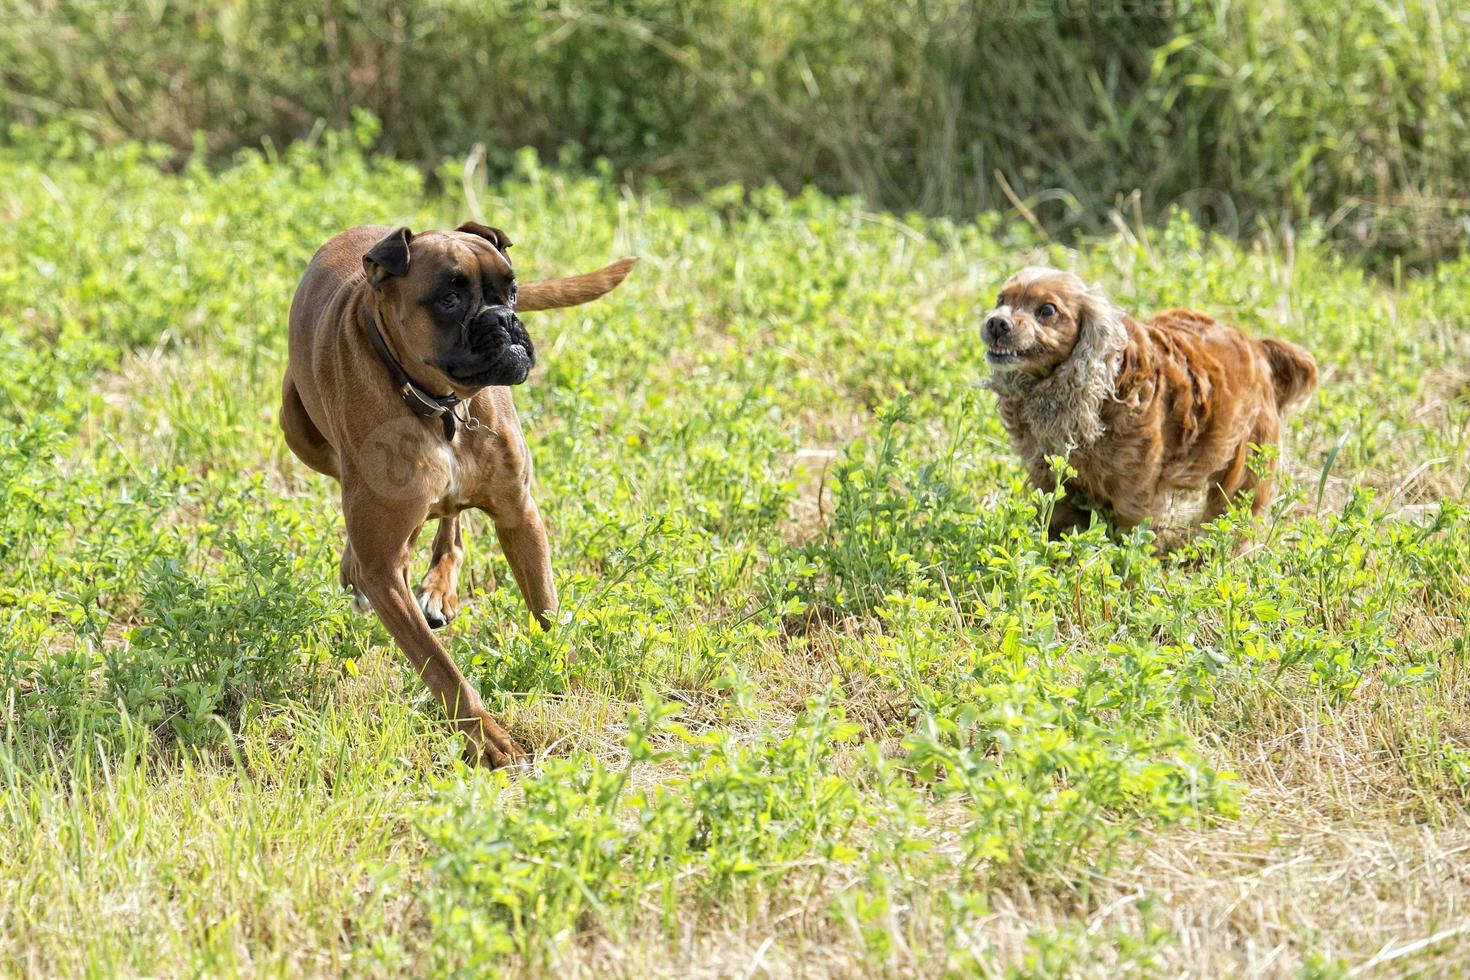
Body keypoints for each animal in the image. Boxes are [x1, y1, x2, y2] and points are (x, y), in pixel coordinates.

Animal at [283, 224, 635, 764]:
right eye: (448, 299)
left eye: (511, 289)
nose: (504, 319)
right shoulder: (384, 573)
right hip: (295, 426)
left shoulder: (519, 516)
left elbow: (547, 608)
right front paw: (486, 738)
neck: (438, 406)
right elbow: (440, 667)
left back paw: (438, 582)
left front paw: (566, 673)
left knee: (449, 522)